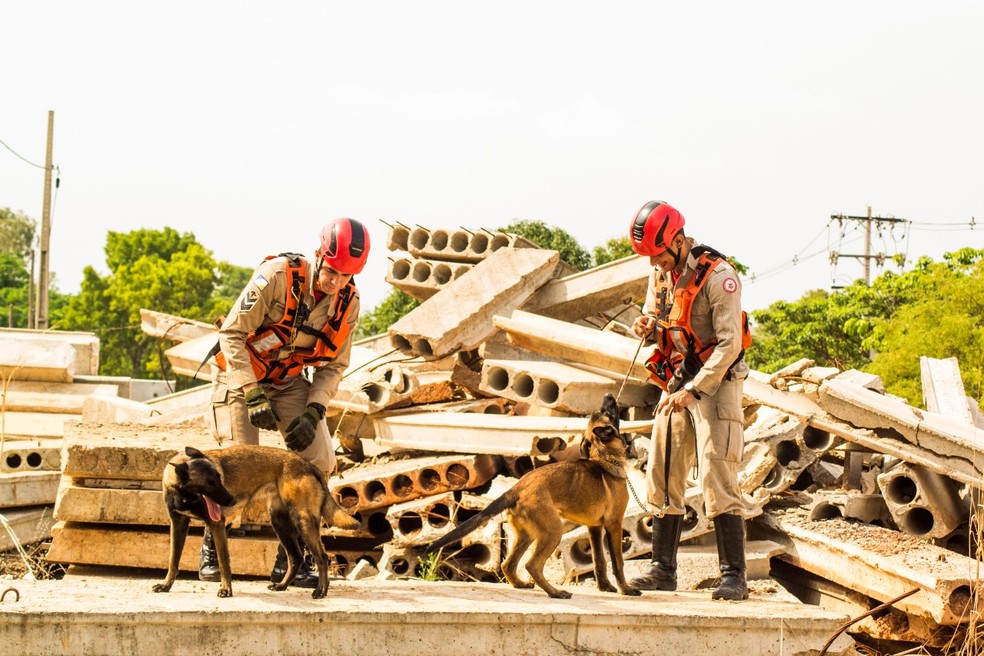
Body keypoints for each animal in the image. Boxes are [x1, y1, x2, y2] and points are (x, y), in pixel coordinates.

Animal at [150, 446, 358, 600]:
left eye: (219, 478)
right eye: (209, 483)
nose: (232, 500)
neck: (182, 493)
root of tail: (307, 464)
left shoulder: (217, 525)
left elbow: (224, 562)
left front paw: (226, 590)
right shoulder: (178, 525)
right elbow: (173, 559)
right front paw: (166, 585)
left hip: (302, 520)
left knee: (321, 557)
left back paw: (320, 591)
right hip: (280, 524)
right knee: (296, 558)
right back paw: (282, 585)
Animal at [422, 394, 640, 600]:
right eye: (608, 412)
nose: (609, 395)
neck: (605, 458)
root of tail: (515, 489)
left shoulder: (594, 527)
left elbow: (599, 560)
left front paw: (605, 588)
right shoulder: (614, 524)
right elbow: (618, 562)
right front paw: (626, 590)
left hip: (526, 534)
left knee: (508, 564)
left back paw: (521, 584)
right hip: (553, 531)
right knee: (531, 565)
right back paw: (555, 592)